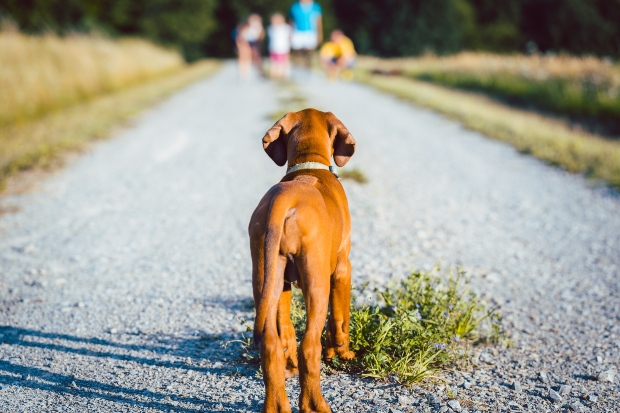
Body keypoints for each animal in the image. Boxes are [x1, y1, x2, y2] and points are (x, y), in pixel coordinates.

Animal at [249, 109, 356, 412]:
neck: (309, 167)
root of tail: (284, 199)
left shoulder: (284, 282)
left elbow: (284, 328)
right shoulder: (342, 269)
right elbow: (340, 318)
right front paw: (342, 352)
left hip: (265, 276)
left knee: (270, 344)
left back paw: (276, 404)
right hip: (316, 281)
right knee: (309, 345)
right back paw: (315, 404)